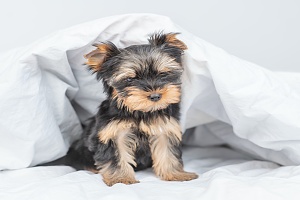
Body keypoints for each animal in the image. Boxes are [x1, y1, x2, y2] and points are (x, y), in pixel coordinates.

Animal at [69, 32, 198, 187]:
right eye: (130, 79)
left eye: (163, 74)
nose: (155, 96)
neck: (141, 112)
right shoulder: (113, 133)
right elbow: (116, 158)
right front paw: (121, 179)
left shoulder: (164, 129)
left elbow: (168, 153)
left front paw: (176, 174)